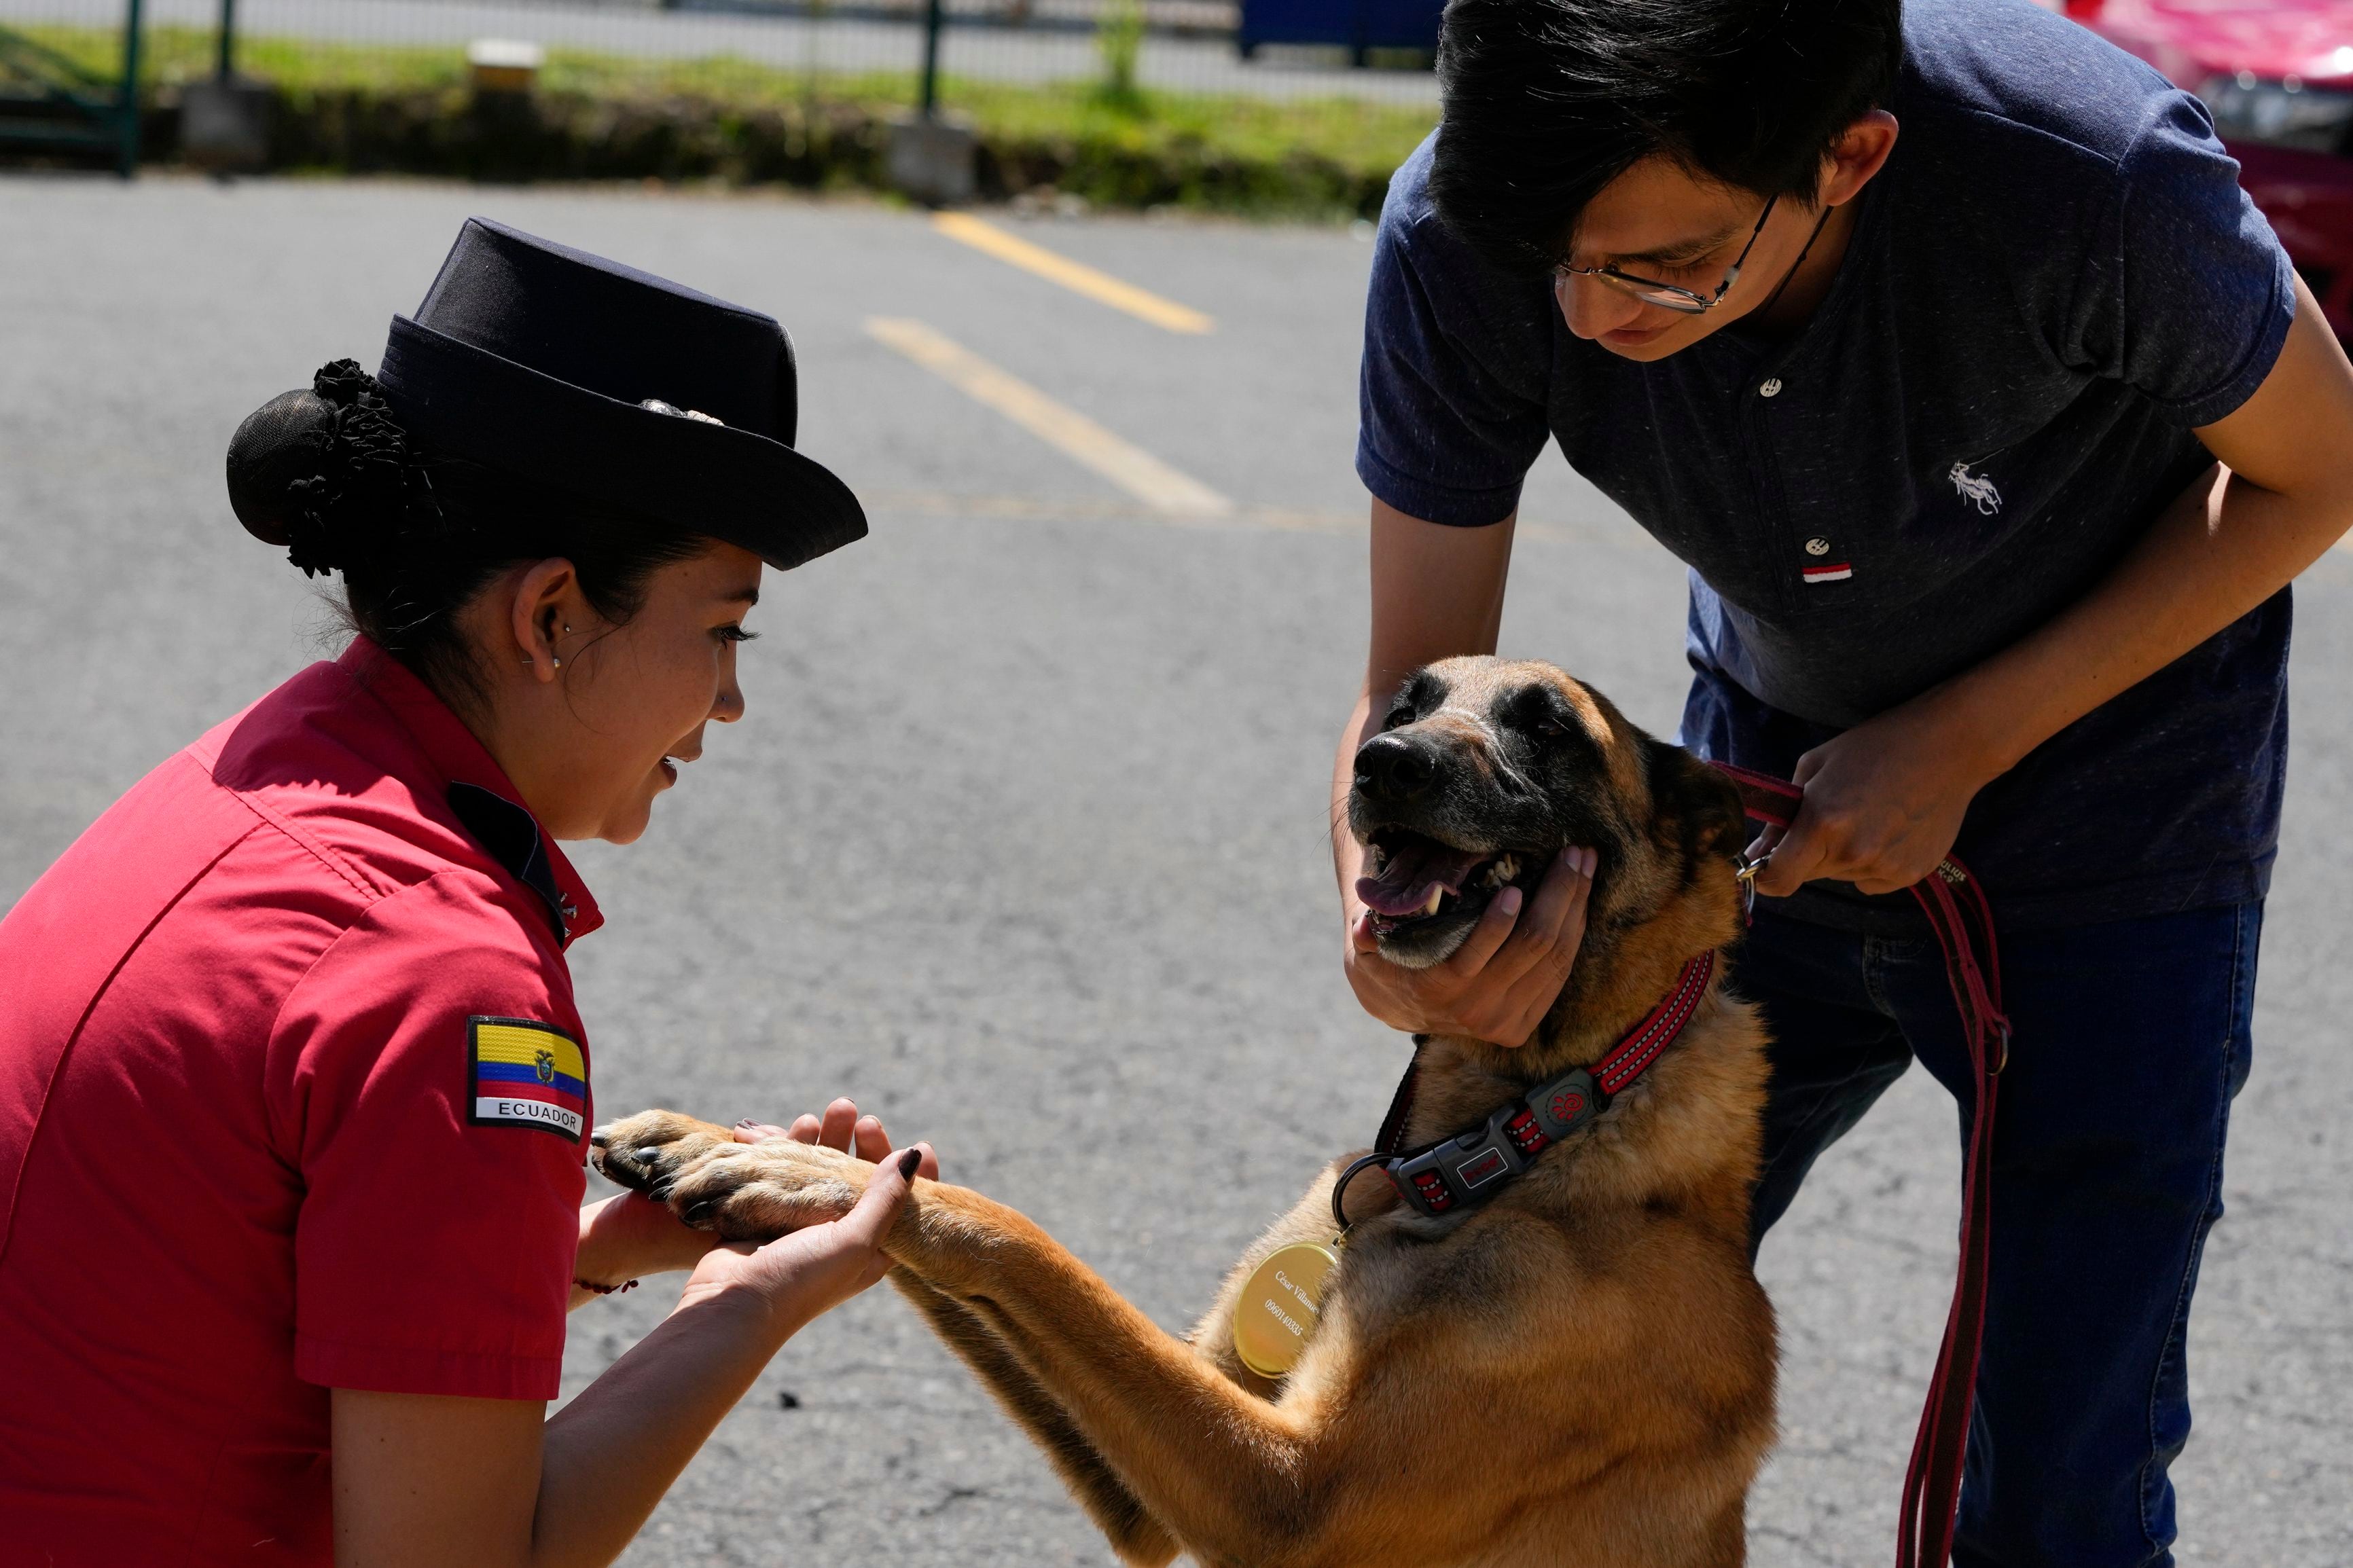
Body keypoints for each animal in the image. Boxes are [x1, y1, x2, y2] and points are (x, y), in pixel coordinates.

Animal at [597, 658, 1769, 1568]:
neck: (1531, 1127)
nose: (1384, 762)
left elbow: (1023, 1240)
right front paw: (746, 1148)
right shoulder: (1158, 1483)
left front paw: (813, 1177)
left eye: (1548, 724)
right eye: (1409, 700)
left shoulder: (1291, 1492)